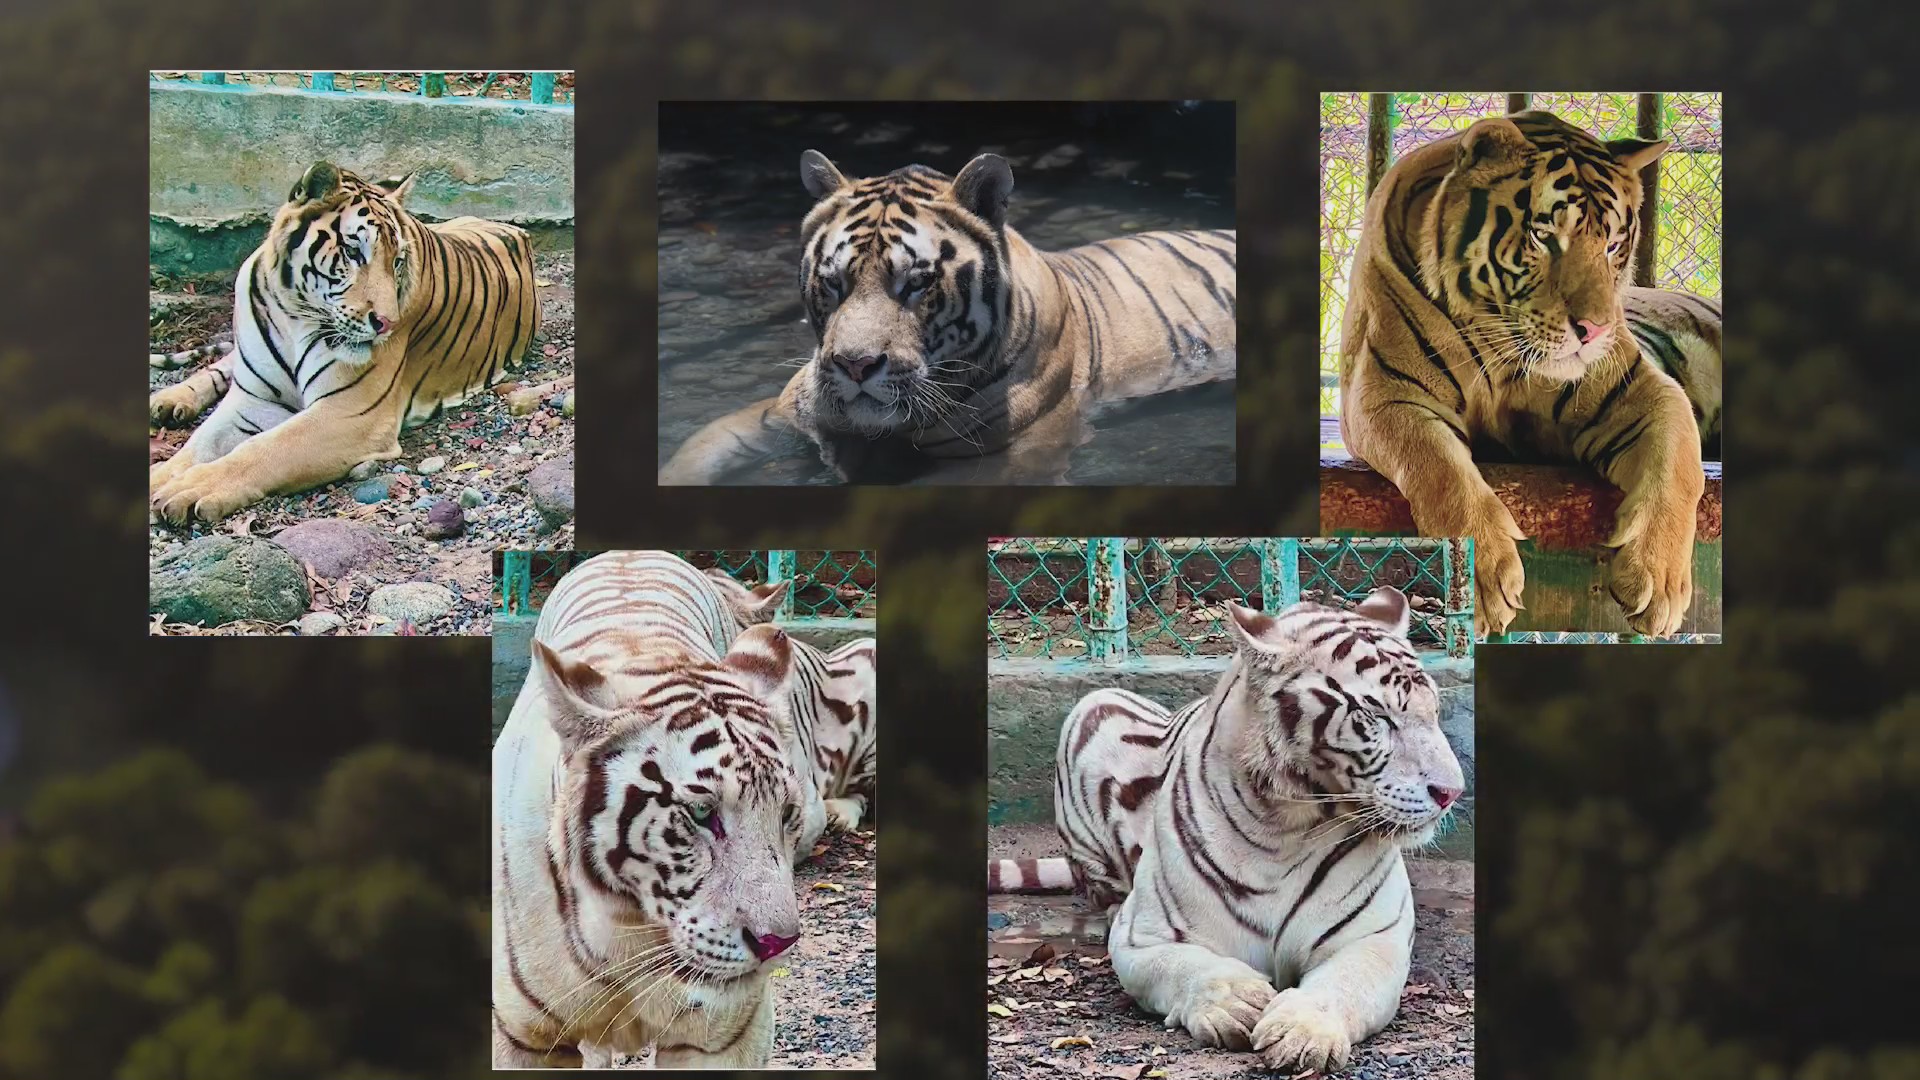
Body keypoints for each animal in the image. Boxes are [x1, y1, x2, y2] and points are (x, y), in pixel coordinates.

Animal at [149, 160, 540, 524]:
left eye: (398, 261)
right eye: (353, 254)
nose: (388, 324)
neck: (292, 314)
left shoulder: (350, 413)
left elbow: (263, 450)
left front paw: (191, 488)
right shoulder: (253, 401)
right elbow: (196, 445)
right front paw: (161, 477)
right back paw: (169, 400)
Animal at [492, 551, 807, 1069]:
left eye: (787, 815)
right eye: (701, 814)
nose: (778, 943)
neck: (630, 930)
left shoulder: (728, 1039)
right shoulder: (519, 1038)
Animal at [658, 150, 1237, 485]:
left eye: (915, 283)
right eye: (834, 282)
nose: (854, 366)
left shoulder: (1007, 456)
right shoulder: (777, 417)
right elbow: (690, 456)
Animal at [987, 587, 1464, 1074]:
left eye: (1433, 711)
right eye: (1377, 715)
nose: (1452, 791)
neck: (1286, 828)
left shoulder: (1374, 937)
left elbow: (1345, 983)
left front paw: (1302, 1031)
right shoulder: (1143, 935)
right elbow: (1185, 966)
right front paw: (1236, 1001)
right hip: (1095, 705)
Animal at [1336, 109, 1722, 636]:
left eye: (1613, 245)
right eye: (1544, 237)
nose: (1595, 330)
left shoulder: (1642, 389)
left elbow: (1681, 469)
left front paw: (1659, 580)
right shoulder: (1383, 395)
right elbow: (1439, 468)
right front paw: (1478, 580)